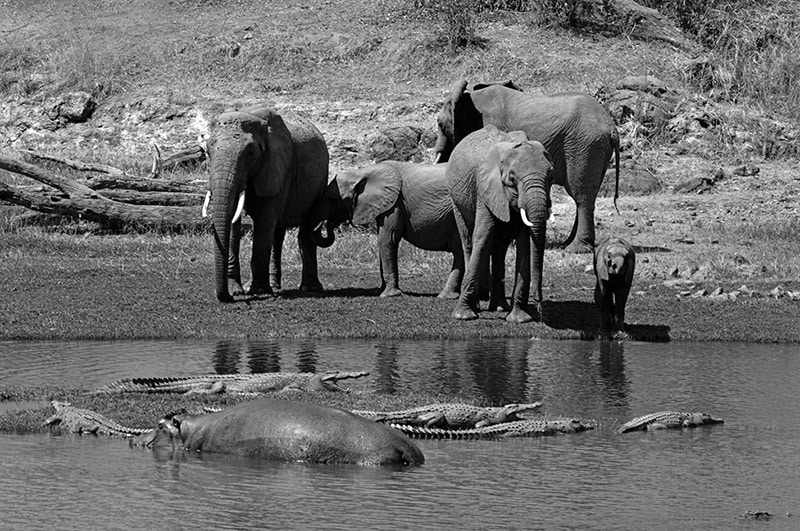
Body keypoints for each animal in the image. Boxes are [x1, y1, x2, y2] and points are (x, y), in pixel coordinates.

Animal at [205, 105, 332, 302]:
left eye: (250, 153)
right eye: (207, 151)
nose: (228, 297)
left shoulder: (279, 167)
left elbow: (264, 222)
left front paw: (257, 291)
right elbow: (233, 222)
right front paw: (237, 291)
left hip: (320, 183)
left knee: (305, 230)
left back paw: (309, 288)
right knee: (277, 234)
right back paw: (275, 286)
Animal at [312, 161, 462, 300]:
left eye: (332, 199)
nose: (329, 223)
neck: (360, 173)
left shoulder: (395, 204)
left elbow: (387, 239)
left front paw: (389, 295)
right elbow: (384, 241)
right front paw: (380, 291)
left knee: (459, 251)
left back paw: (446, 296)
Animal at [434, 79, 620, 254]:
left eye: (440, 124)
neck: (470, 97)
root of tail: (612, 128)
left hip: (584, 147)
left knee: (581, 195)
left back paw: (575, 249)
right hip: (594, 149)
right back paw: (568, 243)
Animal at [446, 125, 552, 324]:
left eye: (550, 176)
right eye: (512, 179)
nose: (540, 310)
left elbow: (525, 244)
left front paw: (519, 320)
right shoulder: (485, 190)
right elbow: (482, 236)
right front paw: (463, 316)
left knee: (499, 249)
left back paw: (500, 307)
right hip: (456, 200)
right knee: (469, 241)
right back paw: (478, 305)